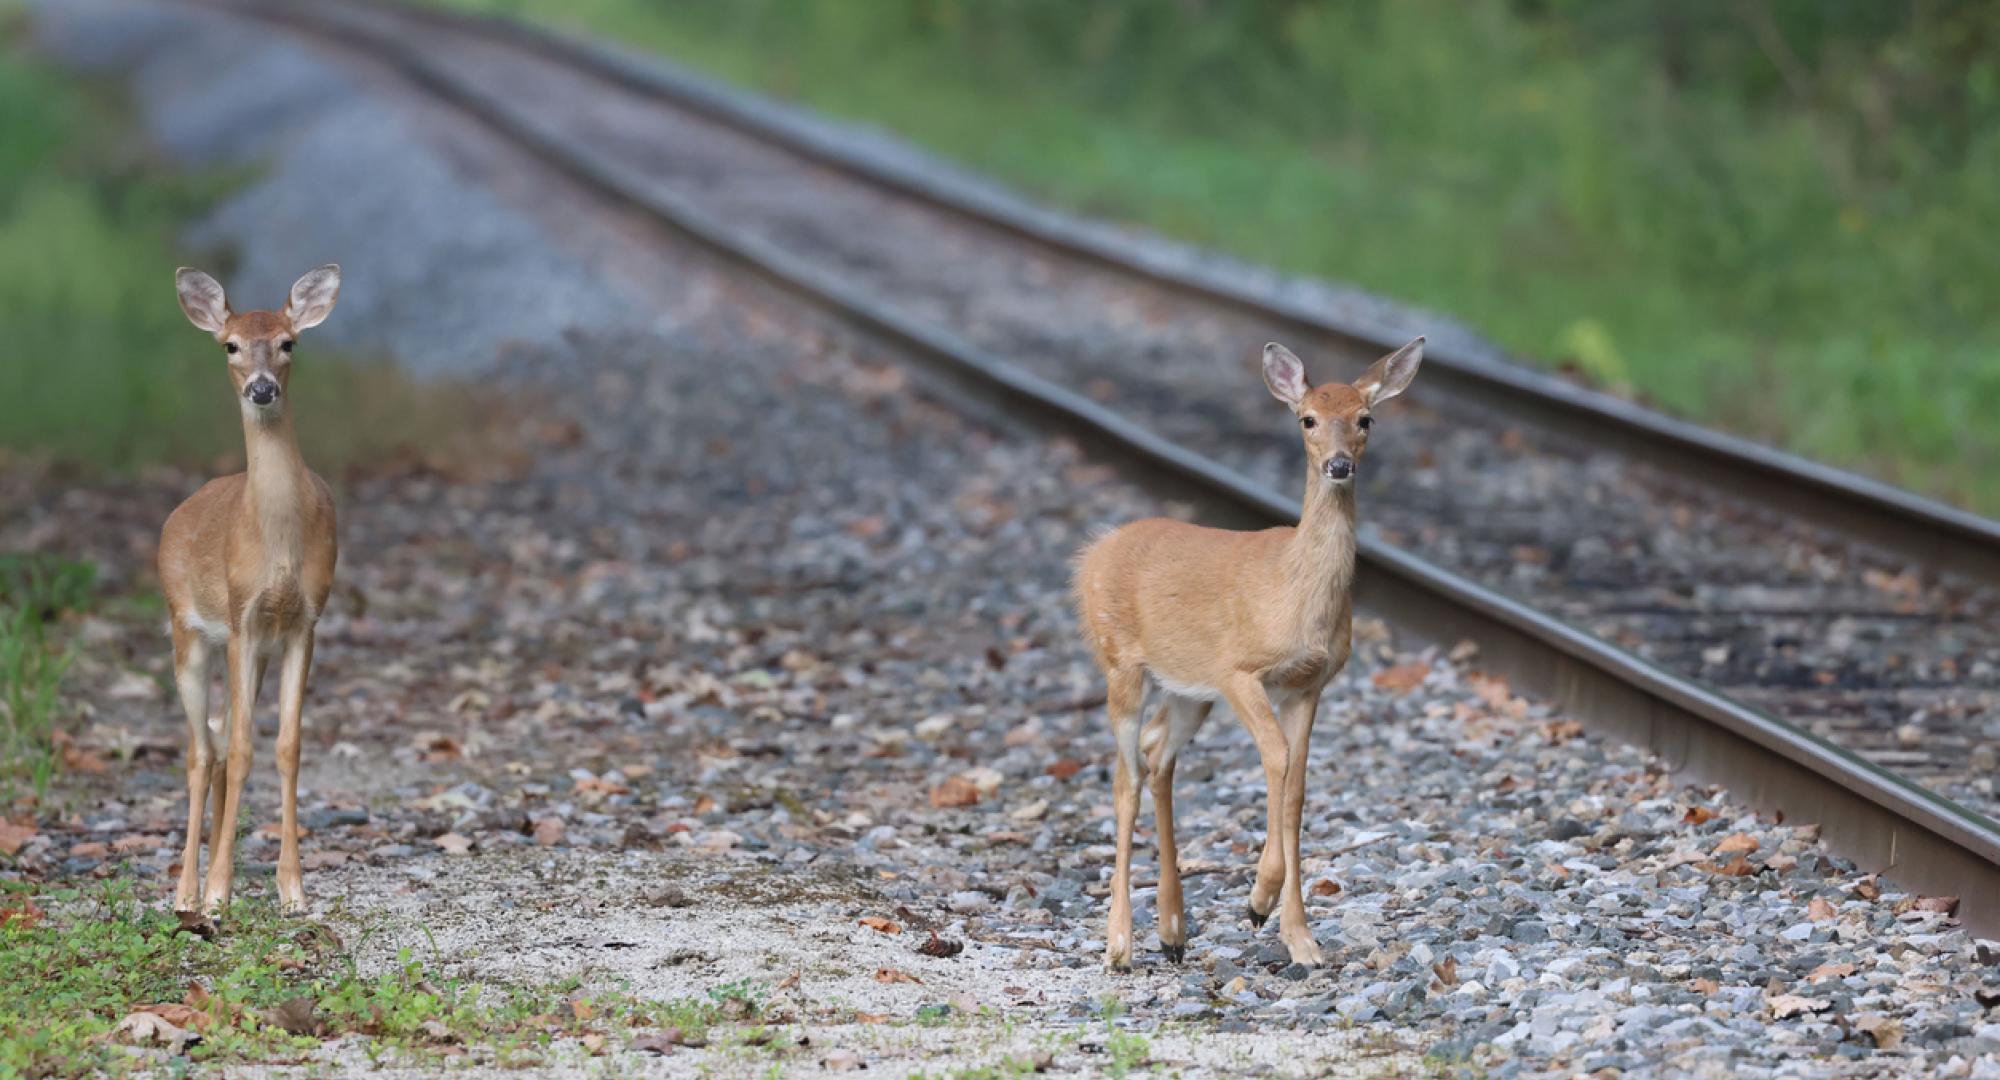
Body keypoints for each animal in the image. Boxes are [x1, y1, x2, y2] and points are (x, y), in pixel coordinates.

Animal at [162, 266, 342, 916]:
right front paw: (217, 892)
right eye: (230, 346)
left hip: (248, 651)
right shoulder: (242, 614)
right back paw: (188, 892)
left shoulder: (302, 623)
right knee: (202, 750)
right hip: (187, 632)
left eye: (289, 342)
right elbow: (241, 750)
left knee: (216, 737)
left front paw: (292, 889)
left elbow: (287, 746)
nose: (262, 389)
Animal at [1080, 336, 1424, 972]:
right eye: (1307, 418)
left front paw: (1297, 935)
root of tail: (1095, 551)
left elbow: (1298, 784)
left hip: (1188, 692)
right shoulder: (1239, 671)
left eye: (1365, 419)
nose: (1339, 464)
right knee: (1125, 775)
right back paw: (1120, 943)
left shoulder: (1309, 684)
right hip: (1121, 663)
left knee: (1157, 754)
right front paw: (1263, 902)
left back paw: (1173, 930)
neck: (1294, 592)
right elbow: (1278, 760)